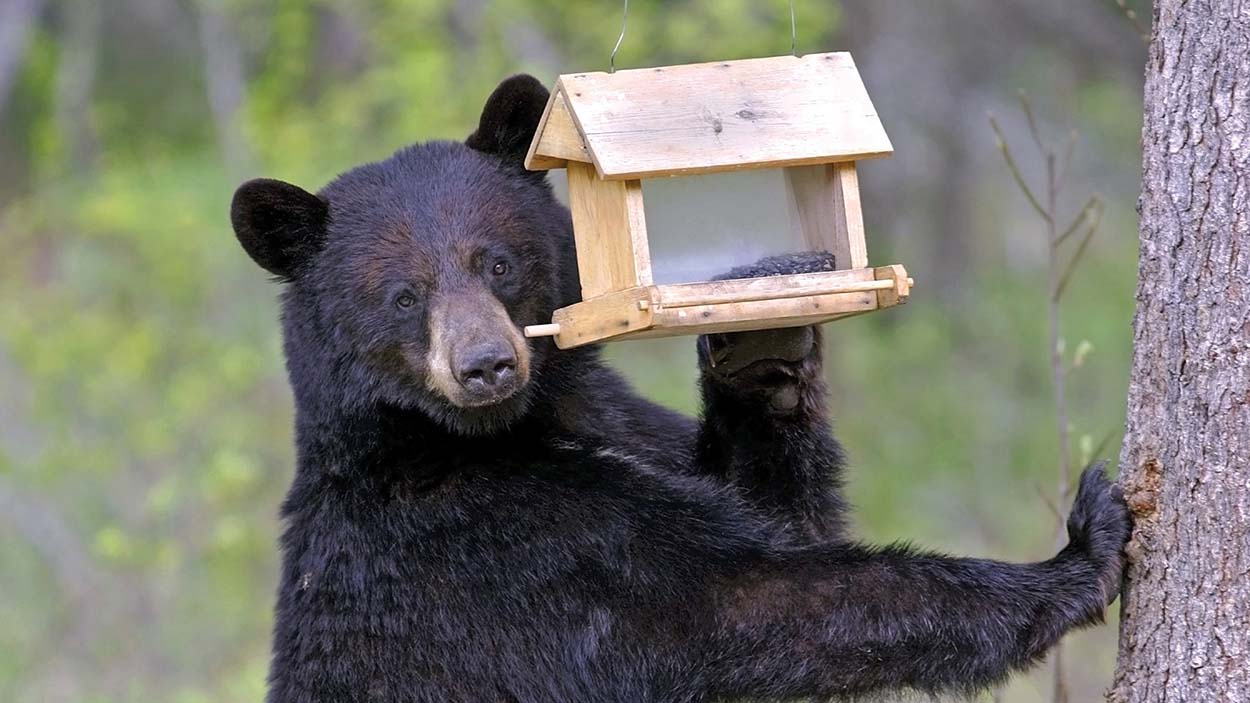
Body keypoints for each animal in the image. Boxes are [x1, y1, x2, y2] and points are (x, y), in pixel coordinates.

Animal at [229, 74, 1131, 703]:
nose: (486, 364)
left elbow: (777, 512)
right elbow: (751, 599)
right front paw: (1079, 552)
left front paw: (761, 345)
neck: (493, 433)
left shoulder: (623, 422)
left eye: (498, 261)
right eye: (402, 296)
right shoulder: (505, 552)